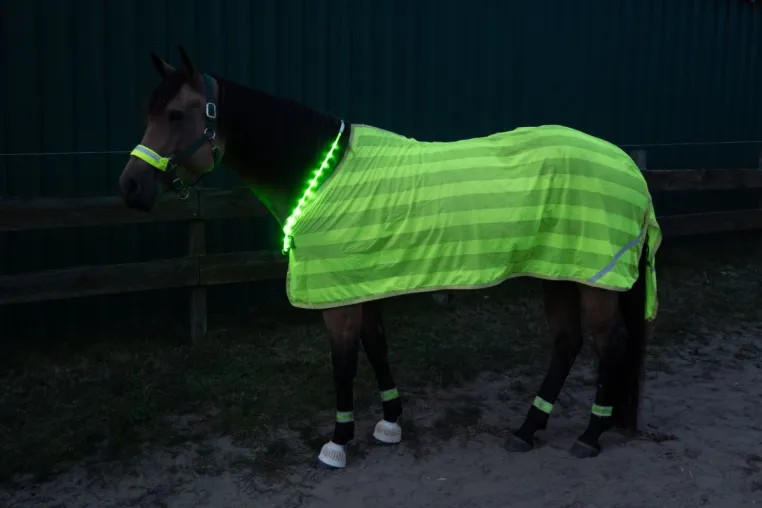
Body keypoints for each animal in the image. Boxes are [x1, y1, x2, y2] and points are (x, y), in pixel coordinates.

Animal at [118, 46, 662, 469]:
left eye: (176, 114)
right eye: (149, 113)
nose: (131, 187)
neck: (324, 172)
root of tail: (629, 166)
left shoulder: (338, 299)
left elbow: (343, 362)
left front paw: (338, 442)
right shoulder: (363, 282)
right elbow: (376, 346)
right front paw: (389, 423)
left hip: (594, 279)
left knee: (610, 343)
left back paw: (589, 436)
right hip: (560, 271)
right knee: (567, 343)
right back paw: (527, 429)